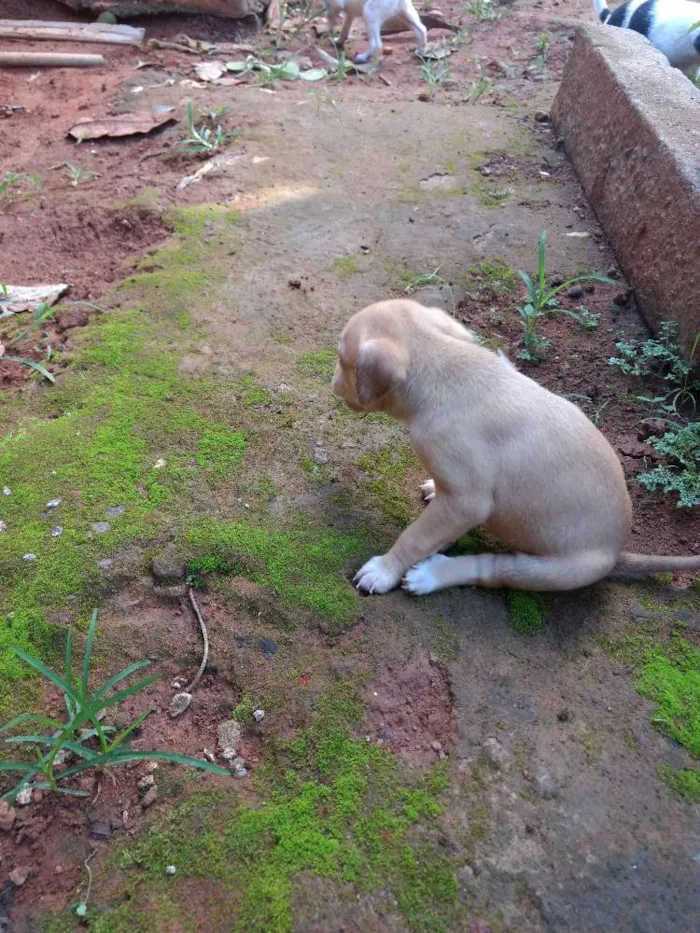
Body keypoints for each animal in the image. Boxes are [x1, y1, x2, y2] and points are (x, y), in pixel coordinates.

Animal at [330, 302, 700, 592]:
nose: (332, 385)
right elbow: (434, 528)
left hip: (552, 570)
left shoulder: (467, 500)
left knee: (493, 569)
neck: (441, 364)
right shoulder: (457, 505)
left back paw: (434, 575)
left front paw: (384, 570)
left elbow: (416, 536)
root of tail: (617, 551)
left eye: (341, 360)